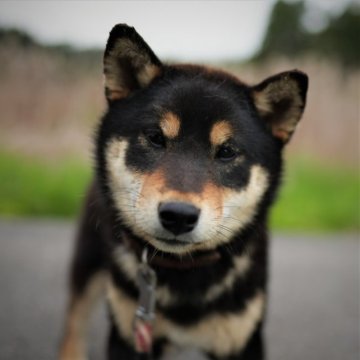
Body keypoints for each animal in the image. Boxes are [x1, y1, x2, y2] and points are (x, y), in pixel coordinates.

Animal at [60, 23, 308, 358]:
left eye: (227, 151)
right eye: (155, 137)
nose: (178, 215)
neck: (184, 272)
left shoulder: (241, 339)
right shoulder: (128, 334)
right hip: (89, 261)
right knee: (74, 320)